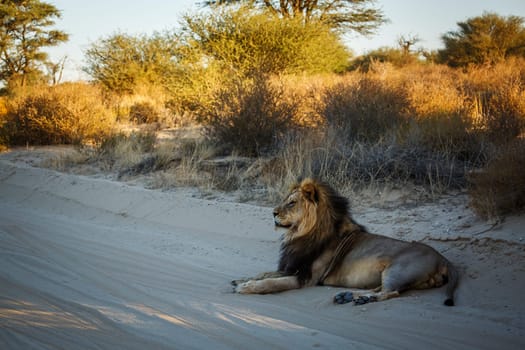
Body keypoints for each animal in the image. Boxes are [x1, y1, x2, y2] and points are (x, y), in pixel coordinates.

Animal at [233, 178, 458, 306]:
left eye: (292, 203)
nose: (272, 213)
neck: (299, 235)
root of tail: (443, 258)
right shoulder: (293, 266)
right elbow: (267, 273)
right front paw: (242, 280)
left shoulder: (307, 277)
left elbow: (272, 282)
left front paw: (246, 287)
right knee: (379, 289)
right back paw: (348, 296)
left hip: (398, 270)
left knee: (389, 292)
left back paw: (360, 299)